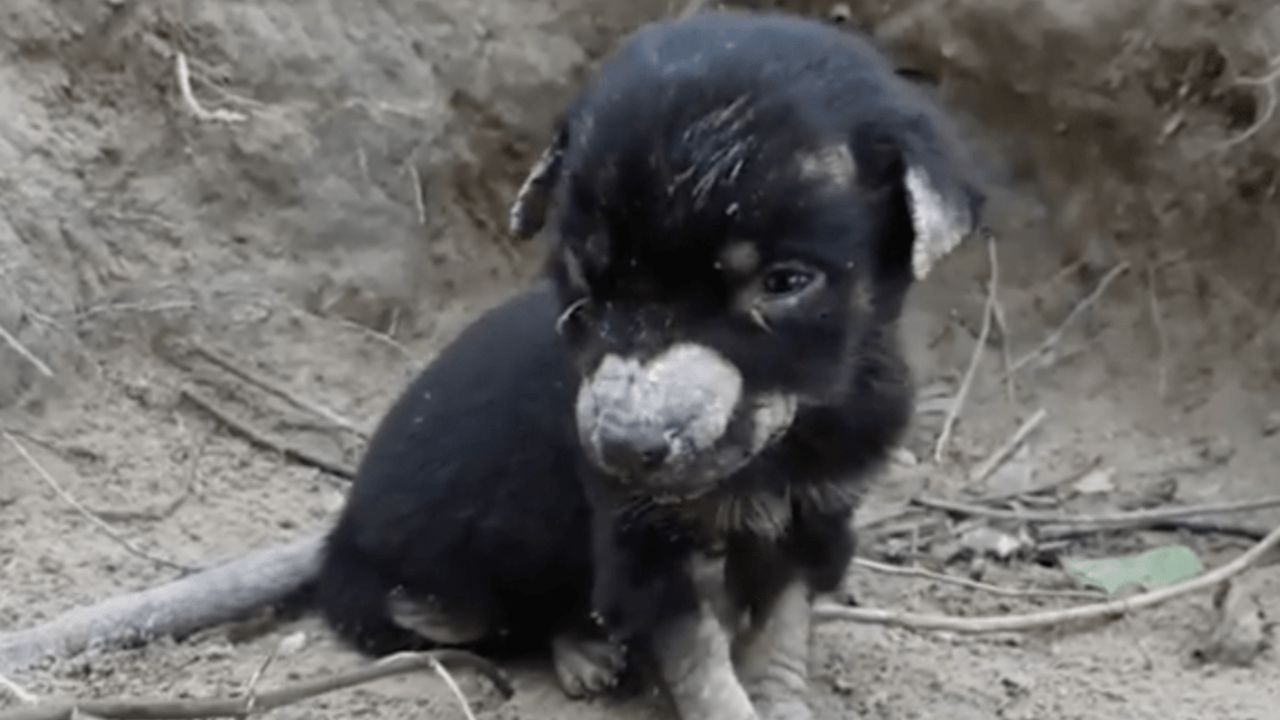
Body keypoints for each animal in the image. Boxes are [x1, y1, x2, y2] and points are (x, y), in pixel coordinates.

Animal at [317, 9, 977, 717]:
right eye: (583, 278)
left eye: (784, 282)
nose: (625, 448)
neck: (778, 455)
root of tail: (337, 545)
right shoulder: (643, 542)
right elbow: (699, 659)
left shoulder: (814, 518)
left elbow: (780, 631)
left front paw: (782, 698)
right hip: (428, 602)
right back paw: (584, 652)